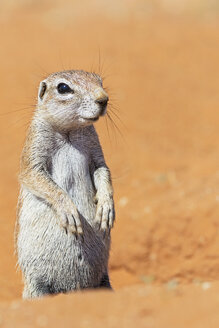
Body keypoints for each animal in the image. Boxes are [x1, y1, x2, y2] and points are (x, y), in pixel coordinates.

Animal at [15, 70, 114, 300]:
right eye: (63, 88)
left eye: (99, 81)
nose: (103, 99)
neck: (69, 132)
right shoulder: (34, 147)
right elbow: (36, 176)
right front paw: (69, 211)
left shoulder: (95, 147)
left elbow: (103, 170)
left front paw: (106, 208)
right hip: (37, 287)